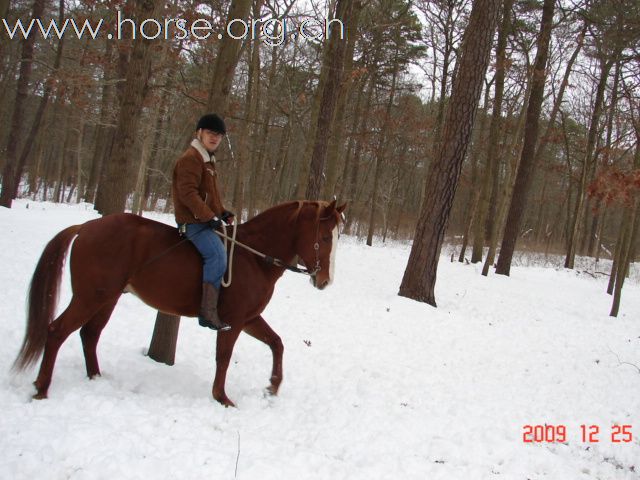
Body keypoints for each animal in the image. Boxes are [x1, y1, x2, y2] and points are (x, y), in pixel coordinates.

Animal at [11, 201, 344, 406]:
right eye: (326, 237)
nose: (325, 280)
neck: (254, 257)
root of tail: (85, 227)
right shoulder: (234, 321)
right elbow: (223, 357)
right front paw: (221, 397)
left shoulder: (250, 319)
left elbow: (277, 343)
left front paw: (272, 386)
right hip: (90, 297)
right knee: (57, 331)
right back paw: (41, 388)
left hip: (107, 299)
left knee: (89, 334)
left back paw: (95, 378)